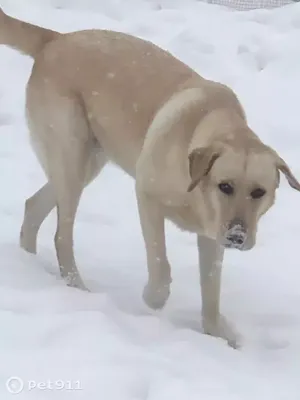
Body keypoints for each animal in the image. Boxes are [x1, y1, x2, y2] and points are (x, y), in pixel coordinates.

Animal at [1, 6, 298, 346]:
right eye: (225, 186)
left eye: (259, 192)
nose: (237, 237)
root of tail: (55, 39)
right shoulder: (148, 198)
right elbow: (161, 268)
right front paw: (151, 300)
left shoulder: (211, 233)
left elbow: (211, 289)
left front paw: (217, 332)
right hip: (71, 156)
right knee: (61, 236)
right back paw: (78, 287)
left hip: (86, 163)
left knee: (33, 205)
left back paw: (29, 262)